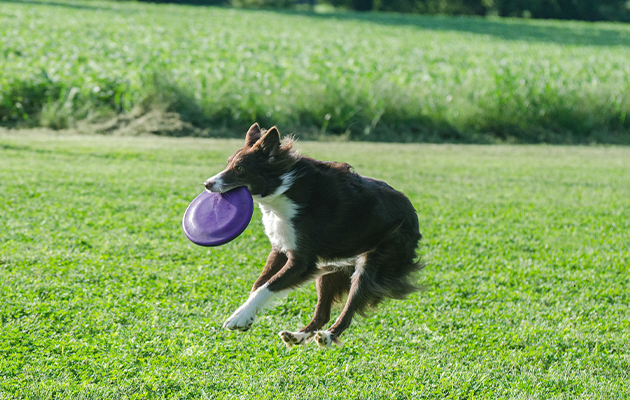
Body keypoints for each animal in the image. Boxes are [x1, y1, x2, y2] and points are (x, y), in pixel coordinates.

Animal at [206, 122, 424, 346]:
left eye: (240, 168)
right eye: (228, 164)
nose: (207, 184)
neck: (283, 189)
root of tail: (413, 214)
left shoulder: (302, 262)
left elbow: (268, 285)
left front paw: (238, 317)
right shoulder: (280, 248)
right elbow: (259, 284)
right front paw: (247, 316)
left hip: (374, 261)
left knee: (349, 307)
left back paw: (328, 335)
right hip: (332, 265)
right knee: (322, 313)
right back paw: (297, 336)